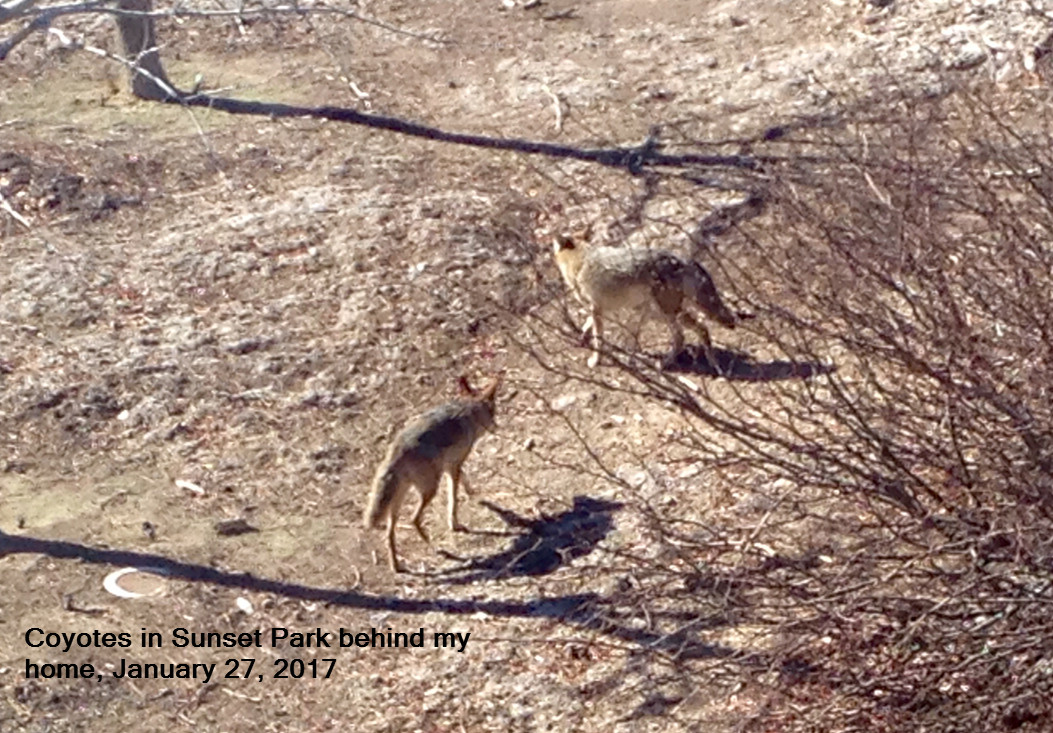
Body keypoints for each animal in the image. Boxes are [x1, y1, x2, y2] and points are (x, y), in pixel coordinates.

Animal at [362, 376, 500, 572]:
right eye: (494, 412)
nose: (497, 427)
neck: (469, 412)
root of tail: (397, 450)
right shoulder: (453, 466)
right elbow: (453, 501)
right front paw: (455, 525)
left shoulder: (452, 465)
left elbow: (464, 479)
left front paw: (472, 492)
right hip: (429, 490)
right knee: (413, 519)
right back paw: (435, 546)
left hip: (397, 505)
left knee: (389, 535)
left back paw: (396, 566)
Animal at [553, 233, 739, 369]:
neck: (581, 260)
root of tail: (683, 259)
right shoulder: (598, 309)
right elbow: (587, 325)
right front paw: (583, 338)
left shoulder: (596, 308)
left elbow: (598, 339)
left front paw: (595, 360)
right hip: (654, 311)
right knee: (697, 330)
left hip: (664, 312)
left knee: (688, 333)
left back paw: (668, 363)